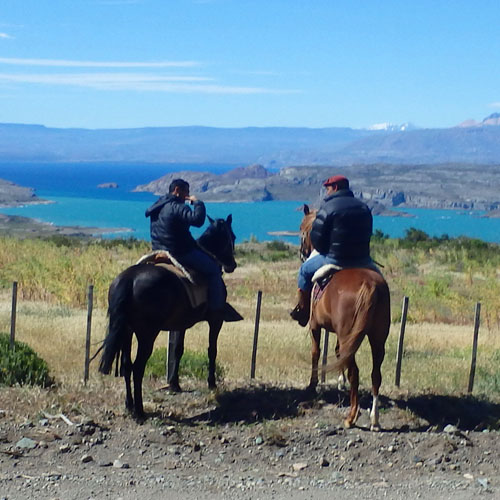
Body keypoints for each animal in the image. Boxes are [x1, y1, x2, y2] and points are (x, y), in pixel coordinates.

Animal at [298, 204, 388, 430]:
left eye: (302, 228)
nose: (302, 253)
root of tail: (370, 286)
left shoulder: (315, 326)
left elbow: (316, 352)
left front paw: (312, 384)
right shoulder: (338, 332)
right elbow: (338, 353)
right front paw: (340, 382)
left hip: (351, 335)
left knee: (355, 372)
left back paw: (351, 417)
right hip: (377, 338)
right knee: (375, 374)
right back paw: (374, 419)